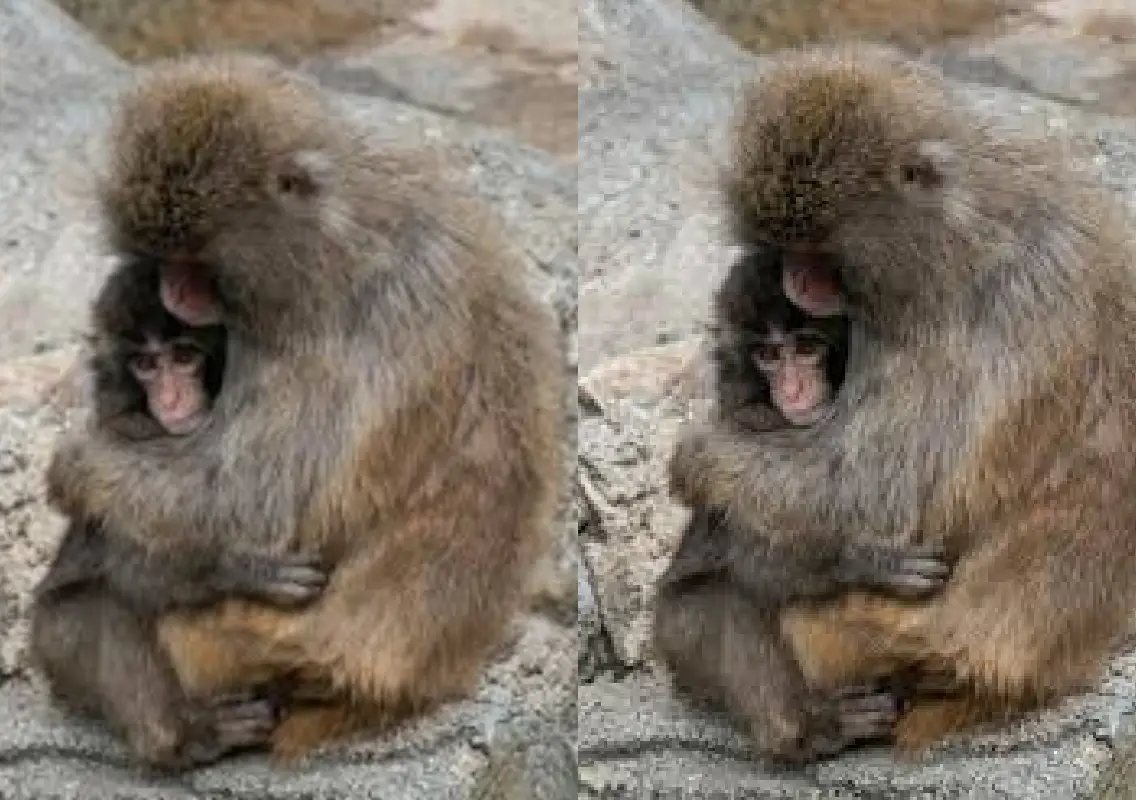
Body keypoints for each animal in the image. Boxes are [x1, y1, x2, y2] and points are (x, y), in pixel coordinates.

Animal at [44, 52, 565, 762]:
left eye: (194, 262)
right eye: (164, 258)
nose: (173, 291)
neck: (339, 233)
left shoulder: (331, 323)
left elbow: (260, 498)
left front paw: (77, 463)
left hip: (225, 639)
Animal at [659, 45, 1136, 760]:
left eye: (817, 253)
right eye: (786, 247)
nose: (794, 278)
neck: (968, 227)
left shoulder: (960, 312)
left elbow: (886, 490)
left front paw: (698, 456)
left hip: (846, 635)